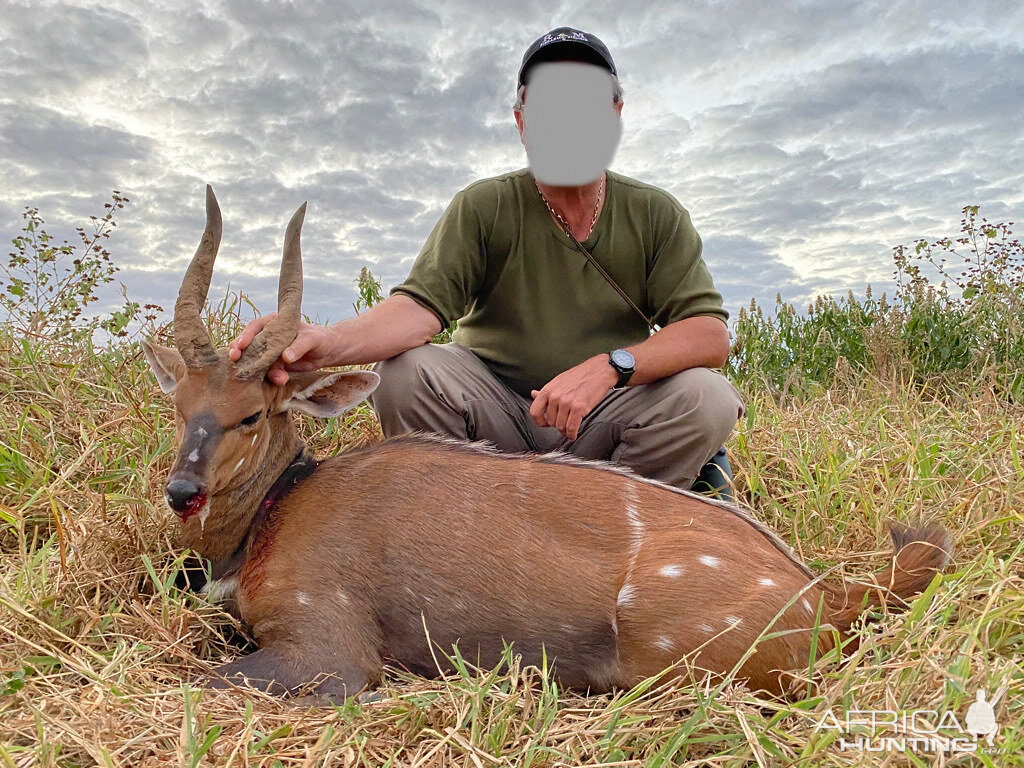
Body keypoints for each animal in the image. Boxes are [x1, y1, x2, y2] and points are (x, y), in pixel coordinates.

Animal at [144, 188, 950, 704]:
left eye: (252, 414)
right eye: (179, 407)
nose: (183, 492)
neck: (273, 515)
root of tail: (828, 593)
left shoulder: (326, 649)